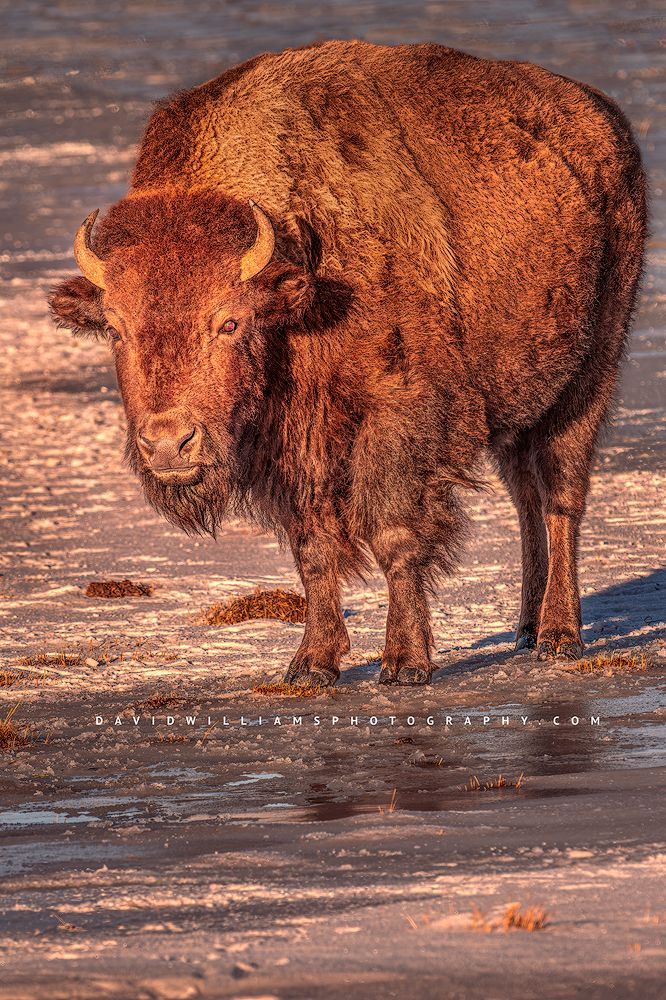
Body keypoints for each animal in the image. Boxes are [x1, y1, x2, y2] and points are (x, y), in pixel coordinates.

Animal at [50, 40, 647, 686]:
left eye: (230, 322)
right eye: (114, 328)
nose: (168, 445)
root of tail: (605, 119)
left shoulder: (398, 419)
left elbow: (393, 534)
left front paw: (404, 662)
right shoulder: (294, 453)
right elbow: (312, 551)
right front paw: (312, 663)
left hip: (590, 375)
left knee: (563, 496)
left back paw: (559, 634)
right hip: (516, 406)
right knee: (526, 500)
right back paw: (527, 626)